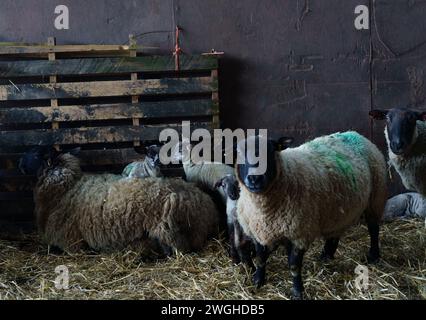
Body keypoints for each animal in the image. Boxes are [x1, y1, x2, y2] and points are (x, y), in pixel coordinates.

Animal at [18, 148, 220, 258]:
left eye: (36, 154)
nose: (20, 164)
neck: (67, 187)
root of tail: (204, 203)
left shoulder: (70, 242)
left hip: (166, 231)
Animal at [235, 132, 388, 300]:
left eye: (271, 151)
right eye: (239, 153)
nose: (254, 179)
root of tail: (356, 134)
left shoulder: (300, 234)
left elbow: (294, 265)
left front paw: (297, 291)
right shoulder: (259, 232)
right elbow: (261, 259)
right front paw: (257, 280)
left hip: (375, 199)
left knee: (374, 229)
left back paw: (373, 256)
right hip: (337, 210)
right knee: (334, 234)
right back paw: (326, 255)